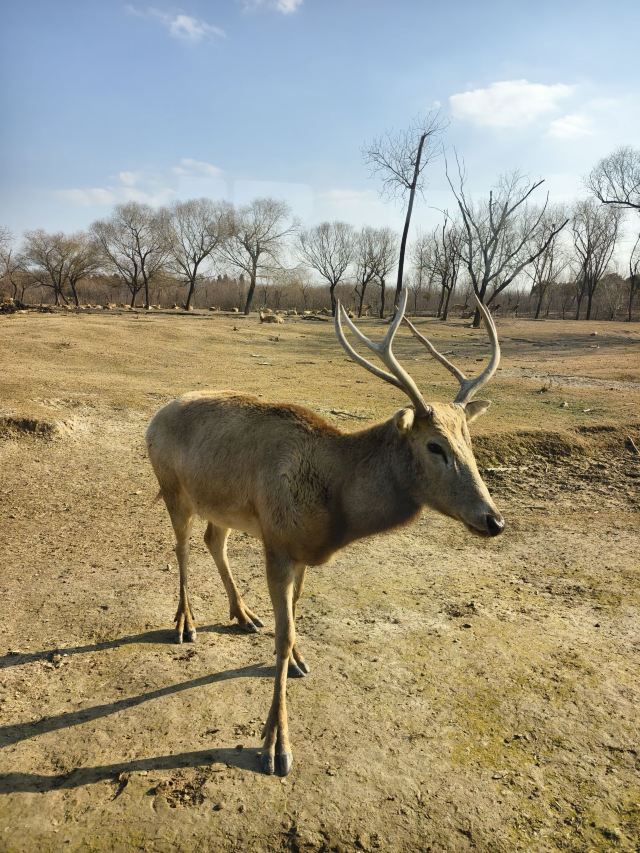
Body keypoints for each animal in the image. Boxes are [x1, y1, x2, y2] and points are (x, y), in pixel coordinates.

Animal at [145, 289, 504, 777]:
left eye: (469, 440)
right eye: (435, 446)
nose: (493, 520)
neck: (334, 509)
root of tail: (153, 417)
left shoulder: (302, 552)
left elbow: (295, 618)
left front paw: (299, 660)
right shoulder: (277, 543)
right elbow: (283, 637)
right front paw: (275, 746)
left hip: (221, 505)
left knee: (212, 541)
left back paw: (244, 614)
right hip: (172, 488)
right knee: (181, 546)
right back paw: (186, 623)